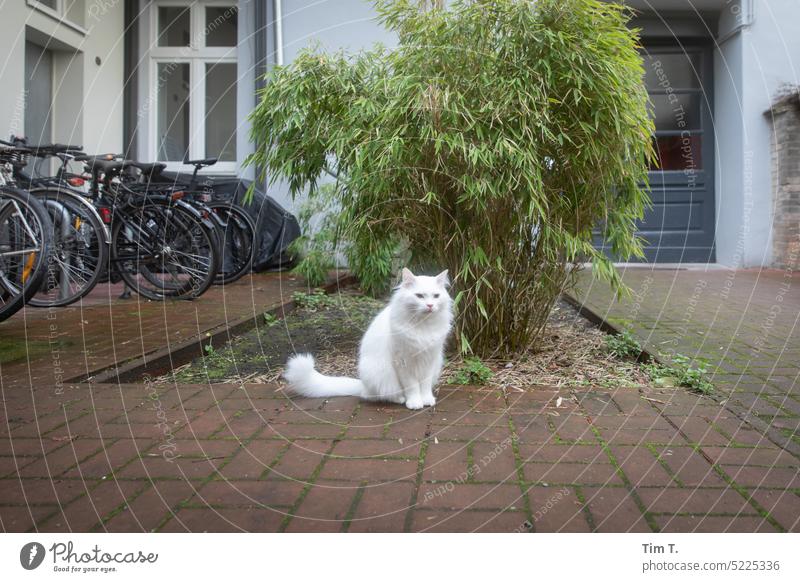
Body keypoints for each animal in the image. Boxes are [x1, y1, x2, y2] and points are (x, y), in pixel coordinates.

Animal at [284, 270, 454, 410]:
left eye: (436, 296)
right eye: (419, 296)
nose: (430, 305)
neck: (422, 327)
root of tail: (363, 385)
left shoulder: (429, 360)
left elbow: (424, 385)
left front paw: (427, 400)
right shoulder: (403, 363)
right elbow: (412, 386)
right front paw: (414, 402)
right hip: (379, 373)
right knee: (378, 395)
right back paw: (400, 399)